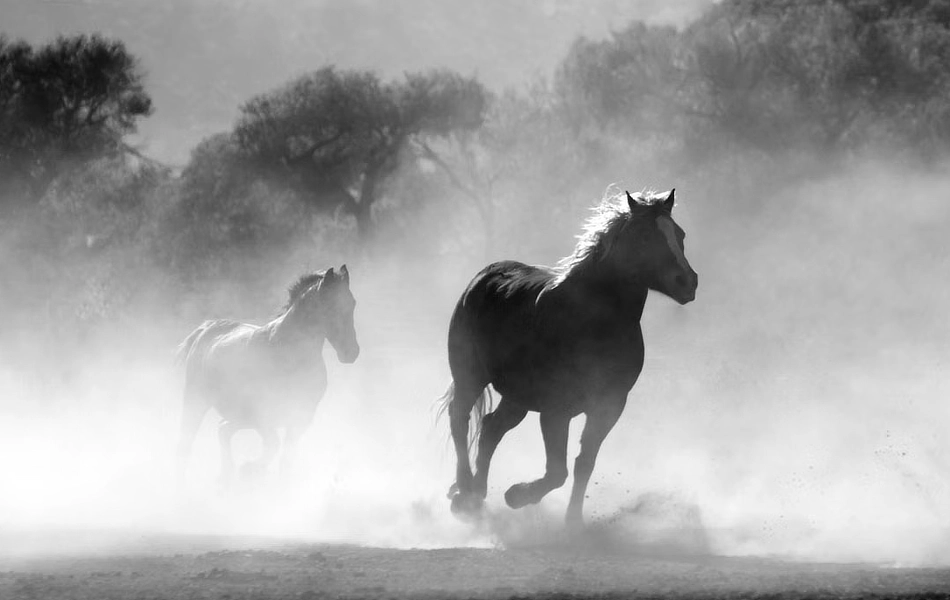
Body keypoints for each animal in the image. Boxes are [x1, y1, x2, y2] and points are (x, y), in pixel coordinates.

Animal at [175, 265, 359, 484]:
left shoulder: (300, 419)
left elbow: (285, 461)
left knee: (223, 430)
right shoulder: (264, 416)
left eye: (352, 303)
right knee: (187, 442)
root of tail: (205, 329)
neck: (290, 353)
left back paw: (227, 476)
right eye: (330, 306)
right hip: (196, 401)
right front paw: (250, 469)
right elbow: (273, 445)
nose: (351, 352)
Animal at [441, 188, 697, 527]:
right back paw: (465, 493)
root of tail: (483, 277)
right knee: (460, 419)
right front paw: (517, 495)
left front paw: (573, 522)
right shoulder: (556, 409)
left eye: (679, 234)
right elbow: (557, 471)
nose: (687, 282)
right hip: (470, 376)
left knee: (491, 428)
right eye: (644, 236)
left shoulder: (609, 406)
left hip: (518, 397)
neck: (593, 322)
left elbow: (583, 463)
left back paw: (477, 494)